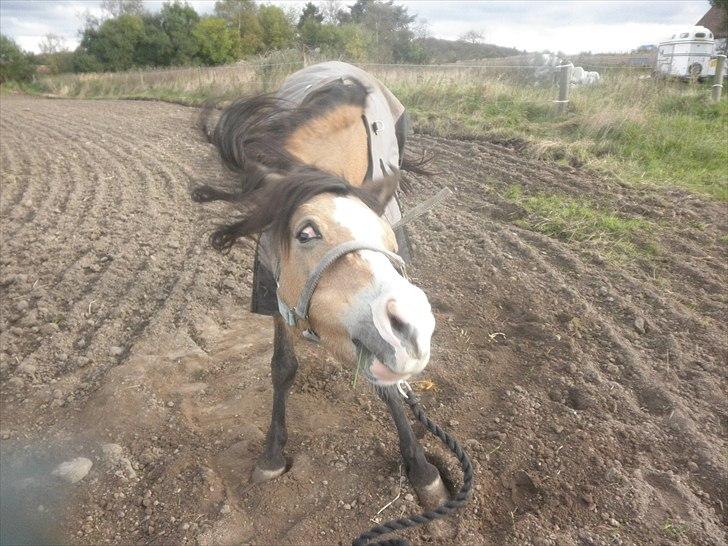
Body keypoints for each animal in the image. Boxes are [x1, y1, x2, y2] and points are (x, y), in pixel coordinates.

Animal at [193, 61, 448, 508]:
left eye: (389, 236)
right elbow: (282, 367)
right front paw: (272, 455)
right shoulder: (278, 289)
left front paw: (420, 468)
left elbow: (390, 387)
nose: (413, 330)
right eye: (306, 233)